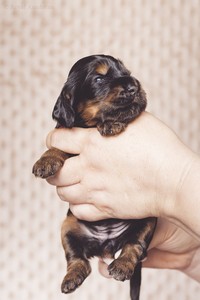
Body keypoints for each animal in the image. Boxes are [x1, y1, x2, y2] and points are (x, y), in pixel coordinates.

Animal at [32, 54, 157, 300]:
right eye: (99, 78)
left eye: (127, 72)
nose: (133, 86)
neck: (90, 127)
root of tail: (106, 243)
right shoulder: (67, 136)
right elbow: (56, 149)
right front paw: (45, 162)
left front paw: (111, 124)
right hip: (68, 226)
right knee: (78, 260)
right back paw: (72, 278)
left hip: (147, 217)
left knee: (133, 245)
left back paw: (122, 266)